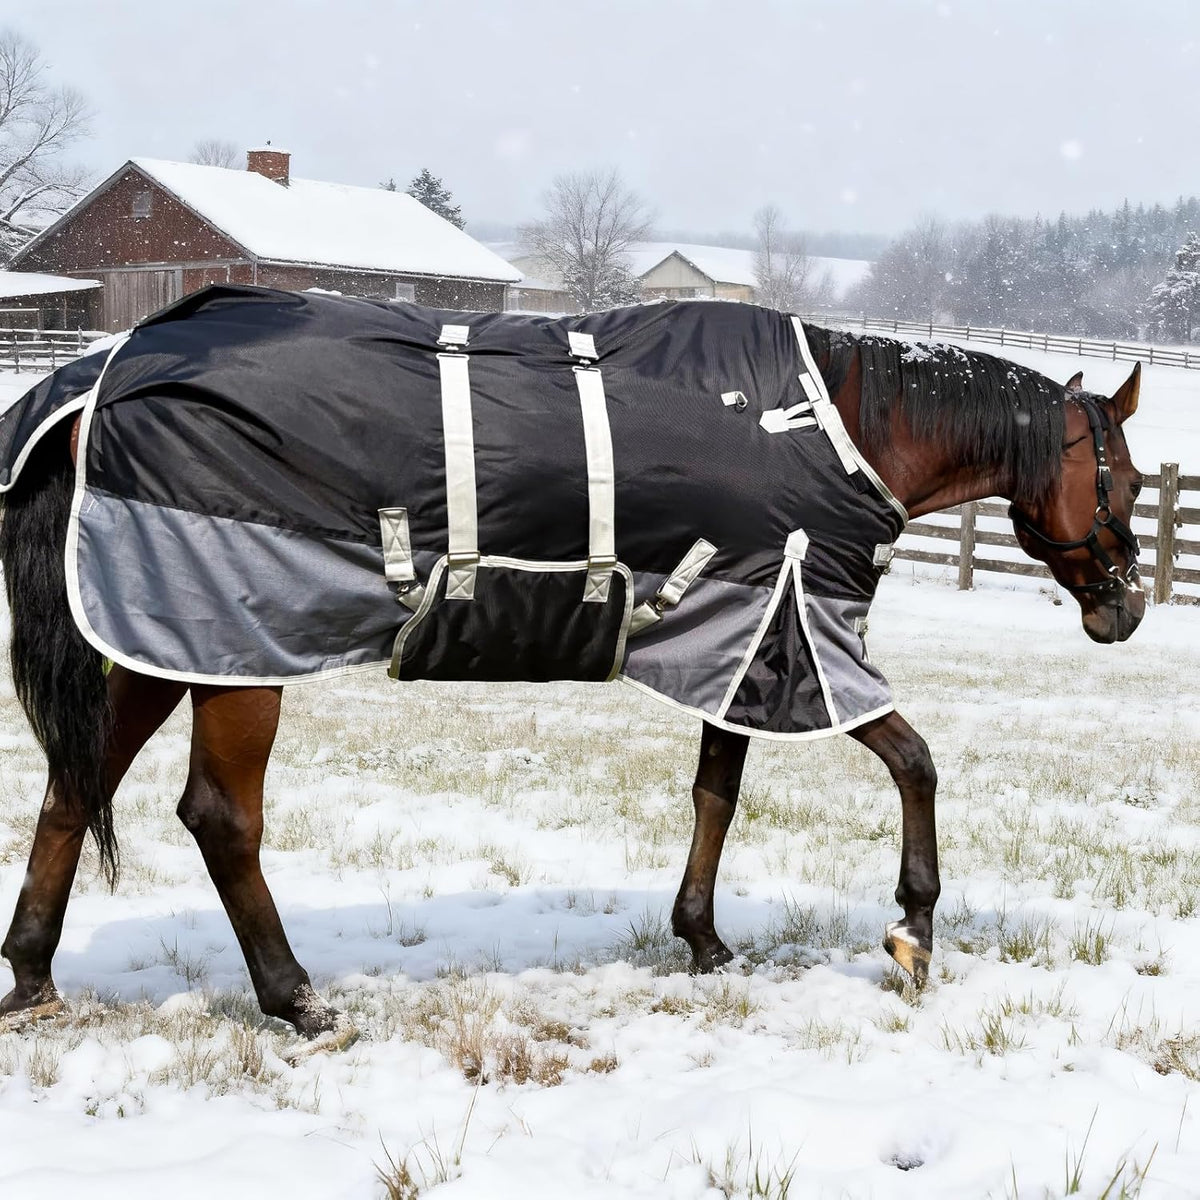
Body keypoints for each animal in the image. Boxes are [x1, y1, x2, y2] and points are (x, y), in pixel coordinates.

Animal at [0, 292, 1144, 1041]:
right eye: (1126, 480)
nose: (1126, 608)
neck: (830, 424)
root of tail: (101, 374)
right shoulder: (809, 638)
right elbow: (916, 764)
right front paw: (912, 931)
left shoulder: (738, 641)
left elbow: (716, 792)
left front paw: (702, 938)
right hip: (239, 647)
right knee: (219, 817)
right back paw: (296, 998)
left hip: (157, 635)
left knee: (74, 786)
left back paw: (32, 975)